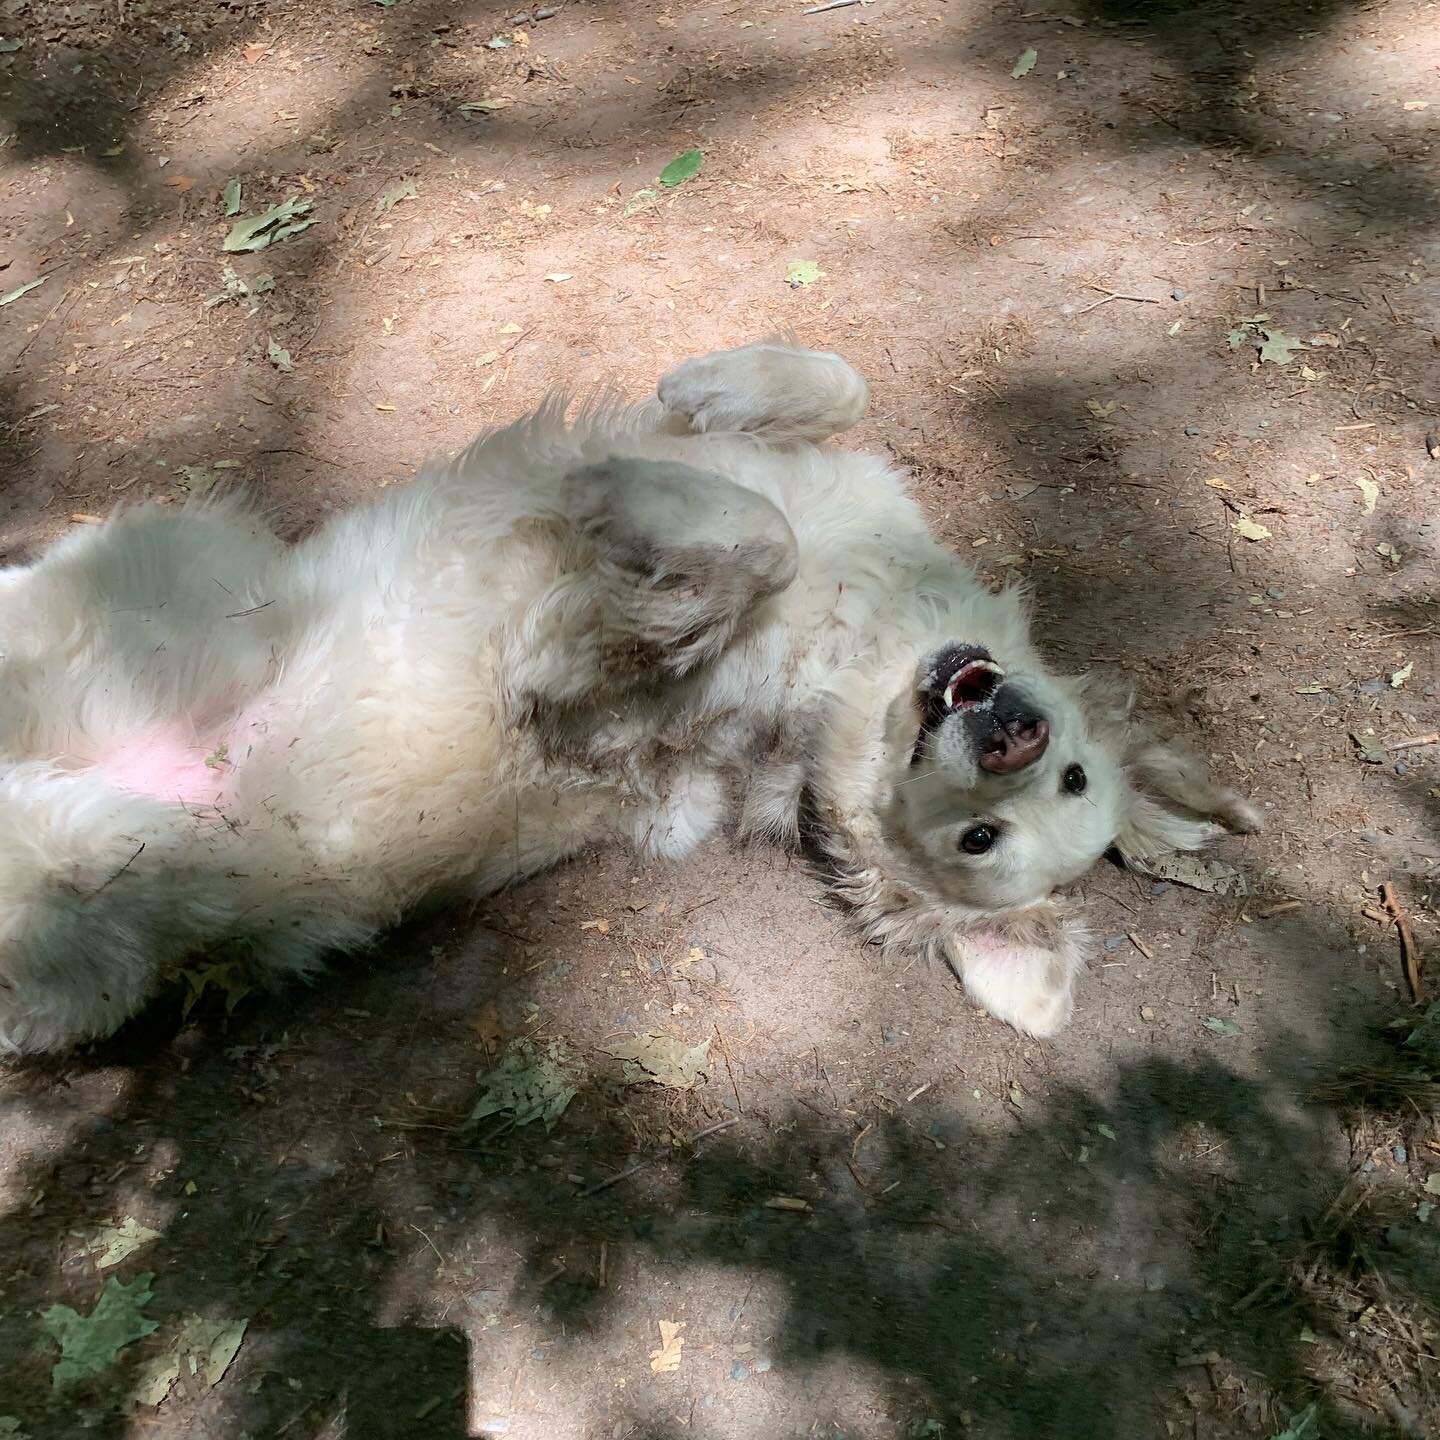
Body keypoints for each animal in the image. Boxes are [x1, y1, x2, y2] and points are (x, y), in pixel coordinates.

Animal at [0, 341, 1255, 1054]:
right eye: (1073, 774)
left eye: (984, 842)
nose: (1016, 736)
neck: (855, 647)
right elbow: (823, 400)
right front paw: (716, 388)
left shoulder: (622, 710)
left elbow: (744, 545)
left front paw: (620, 526)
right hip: (177, 562)